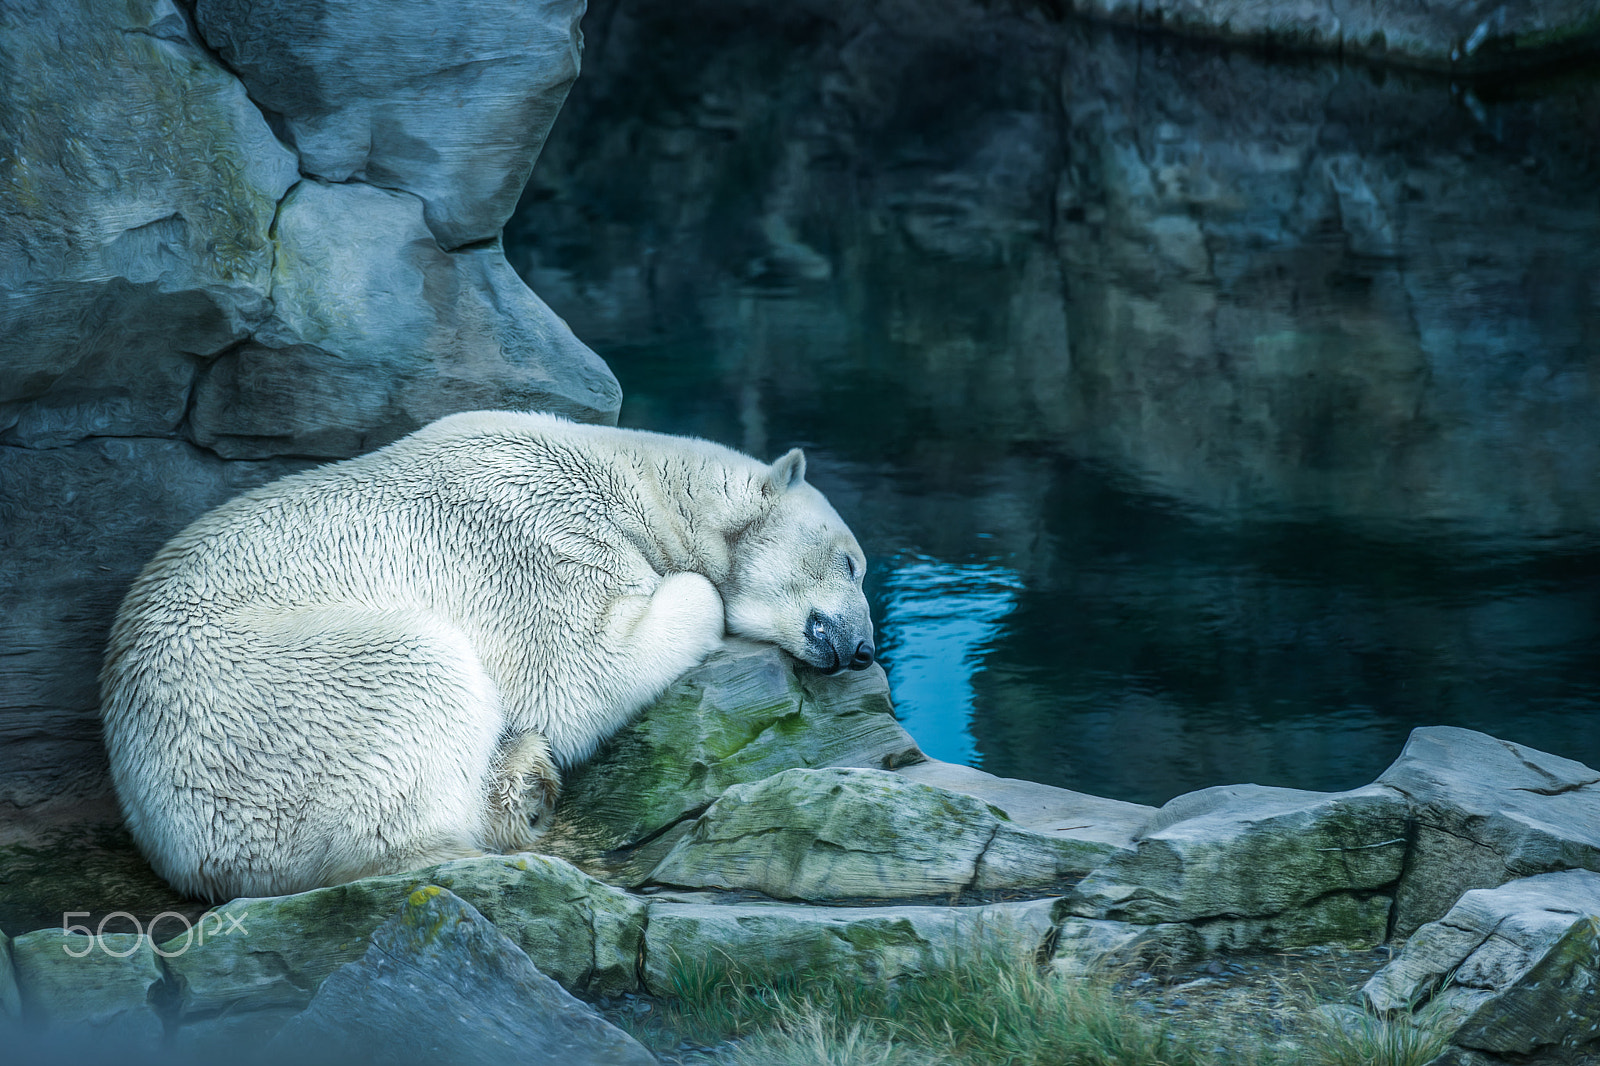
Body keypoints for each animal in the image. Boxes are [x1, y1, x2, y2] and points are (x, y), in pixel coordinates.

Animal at [99, 410, 874, 900]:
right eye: (851, 563)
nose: (865, 647)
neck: (641, 483)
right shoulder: (544, 537)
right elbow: (580, 670)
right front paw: (692, 590)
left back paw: (522, 780)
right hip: (269, 701)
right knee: (417, 677)